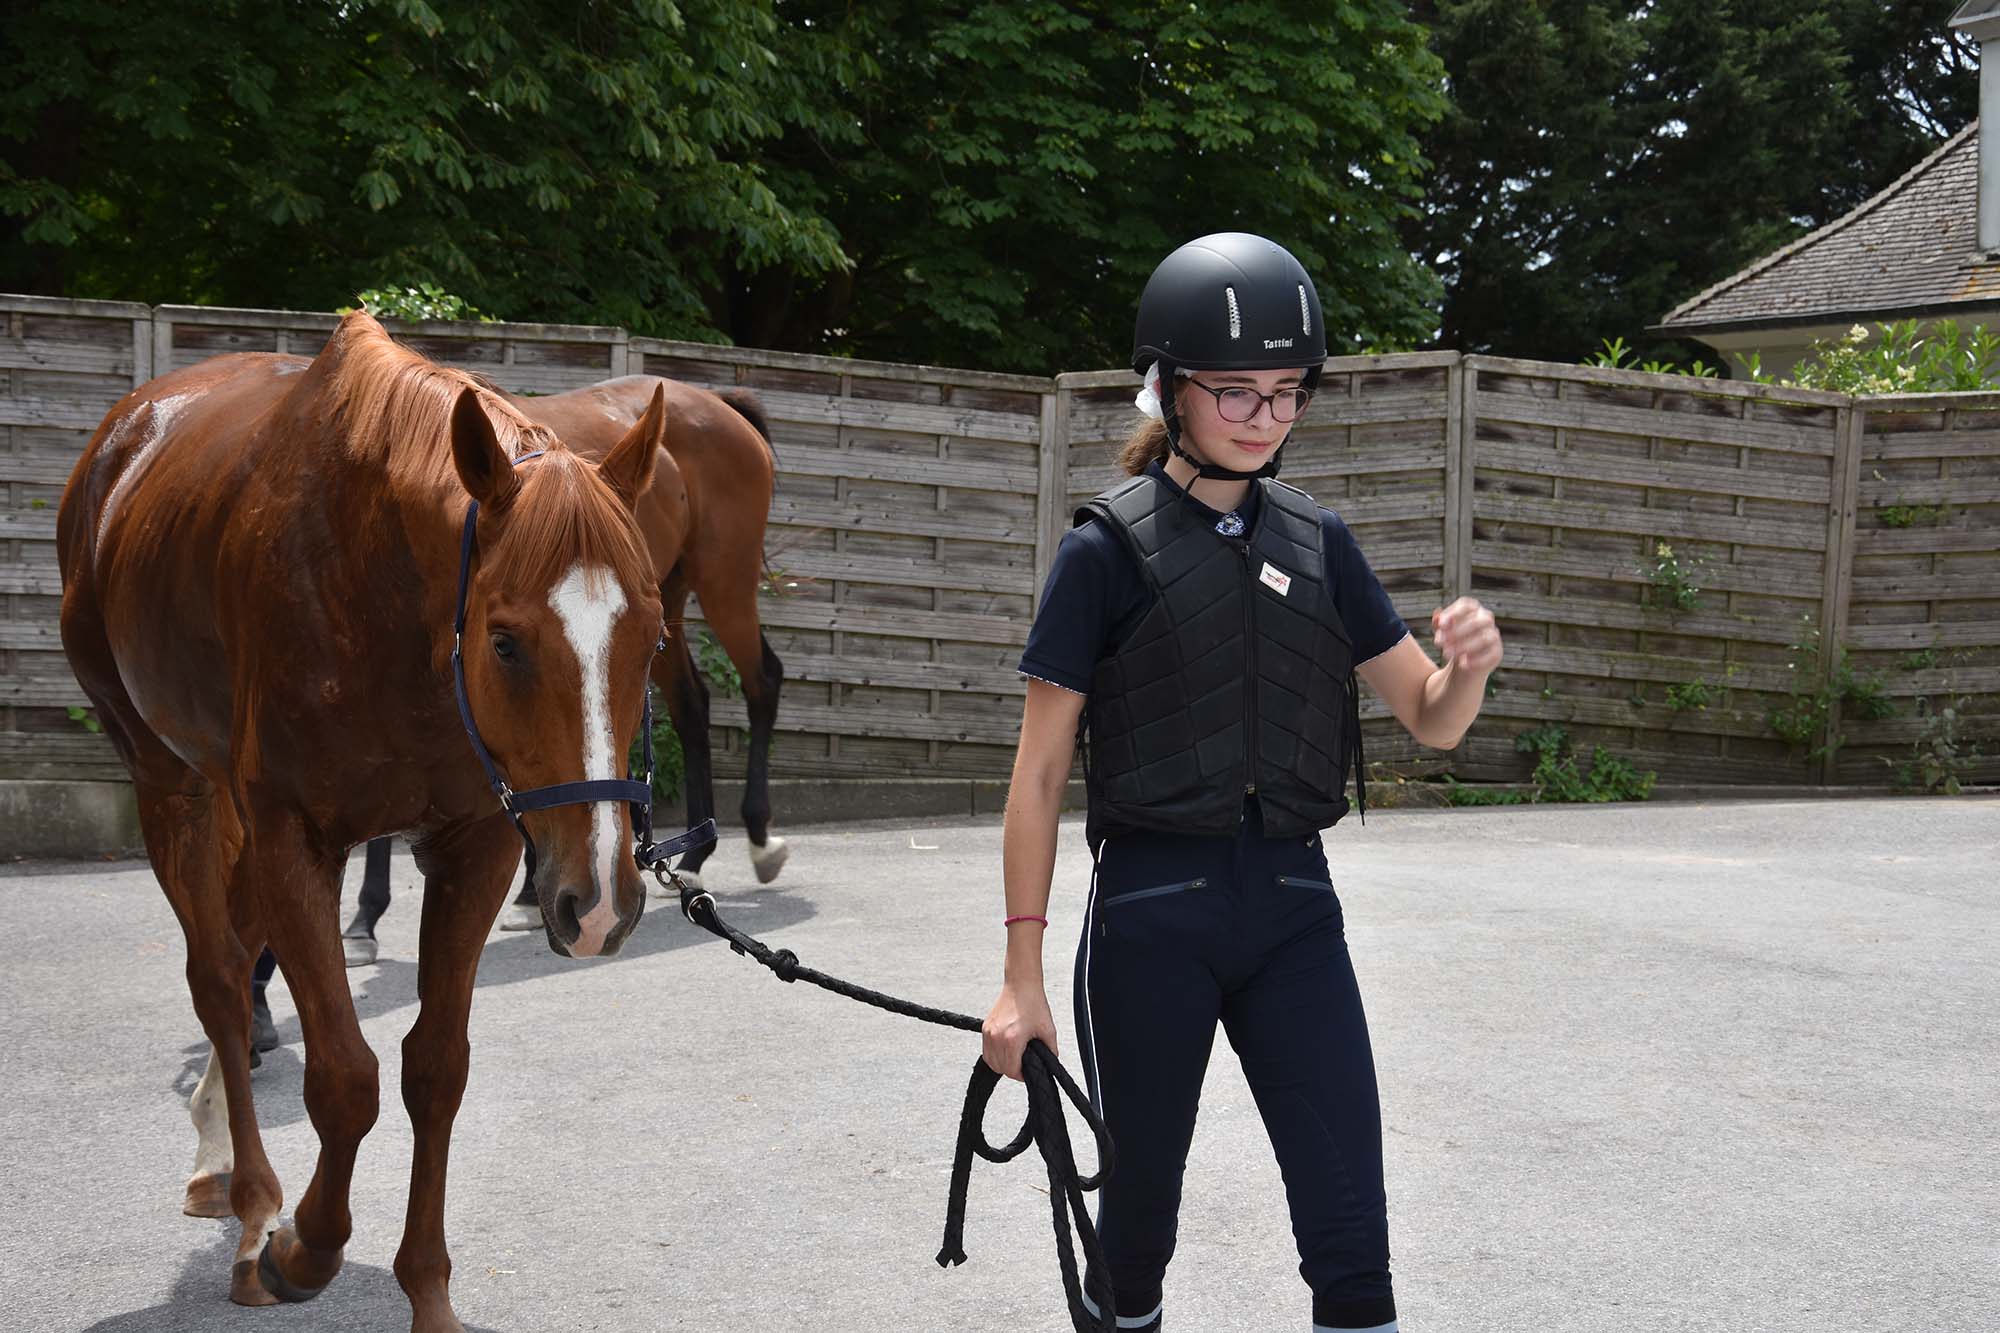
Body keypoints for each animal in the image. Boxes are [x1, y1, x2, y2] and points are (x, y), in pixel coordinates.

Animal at [52, 306, 664, 1320]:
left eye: (651, 636)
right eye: (505, 640)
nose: (598, 903)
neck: (374, 592)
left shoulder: (476, 847)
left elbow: (436, 1068)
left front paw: (429, 1293)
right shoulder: (296, 839)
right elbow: (344, 1077)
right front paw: (303, 1247)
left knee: (238, 954)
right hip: (170, 782)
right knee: (220, 979)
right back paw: (251, 1199)